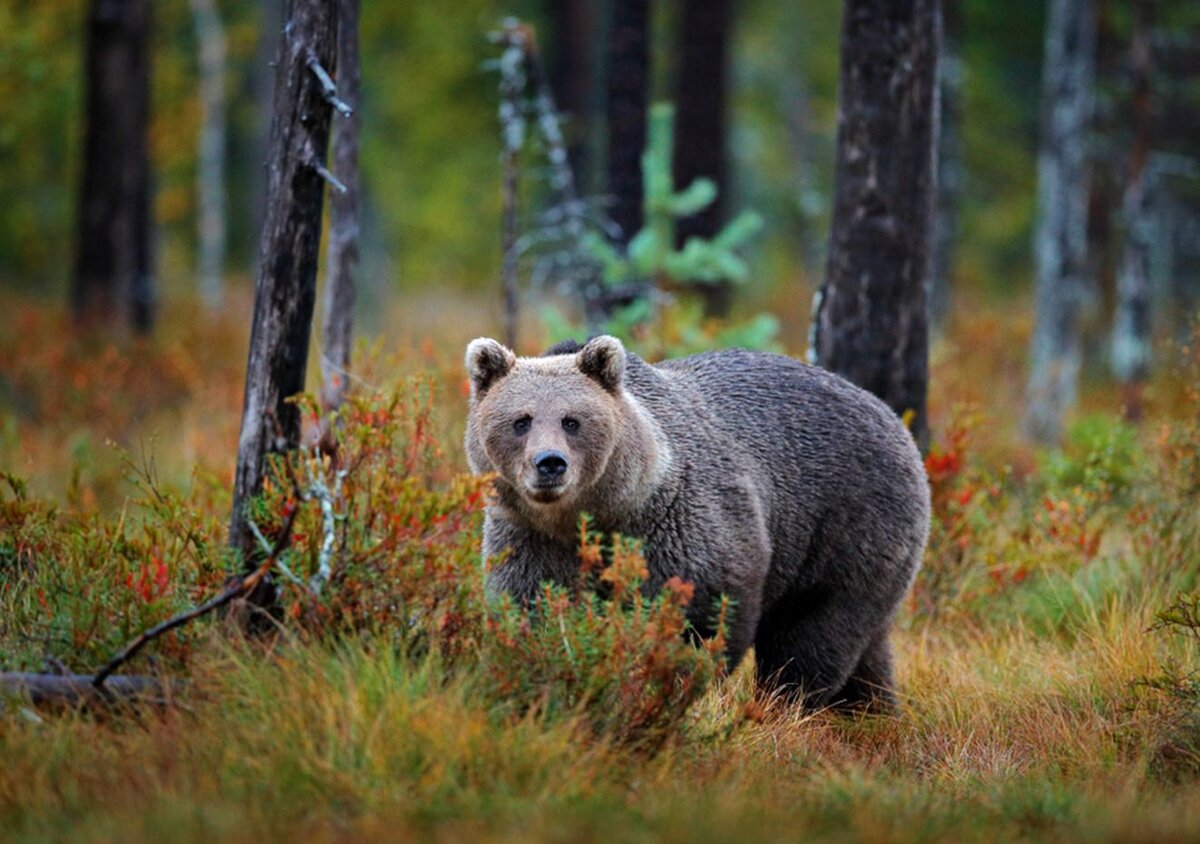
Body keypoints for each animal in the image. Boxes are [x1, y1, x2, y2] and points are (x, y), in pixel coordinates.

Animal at [463, 333, 931, 710]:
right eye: (521, 420)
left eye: (572, 420)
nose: (550, 463)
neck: (596, 515)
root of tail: (894, 419)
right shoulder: (531, 535)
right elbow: (531, 603)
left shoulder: (680, 524)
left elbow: (702, 613)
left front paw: (670, 681)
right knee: (868, 652)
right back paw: (874, 712)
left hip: (848, 525)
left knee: (812, 632)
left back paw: (786, 703)